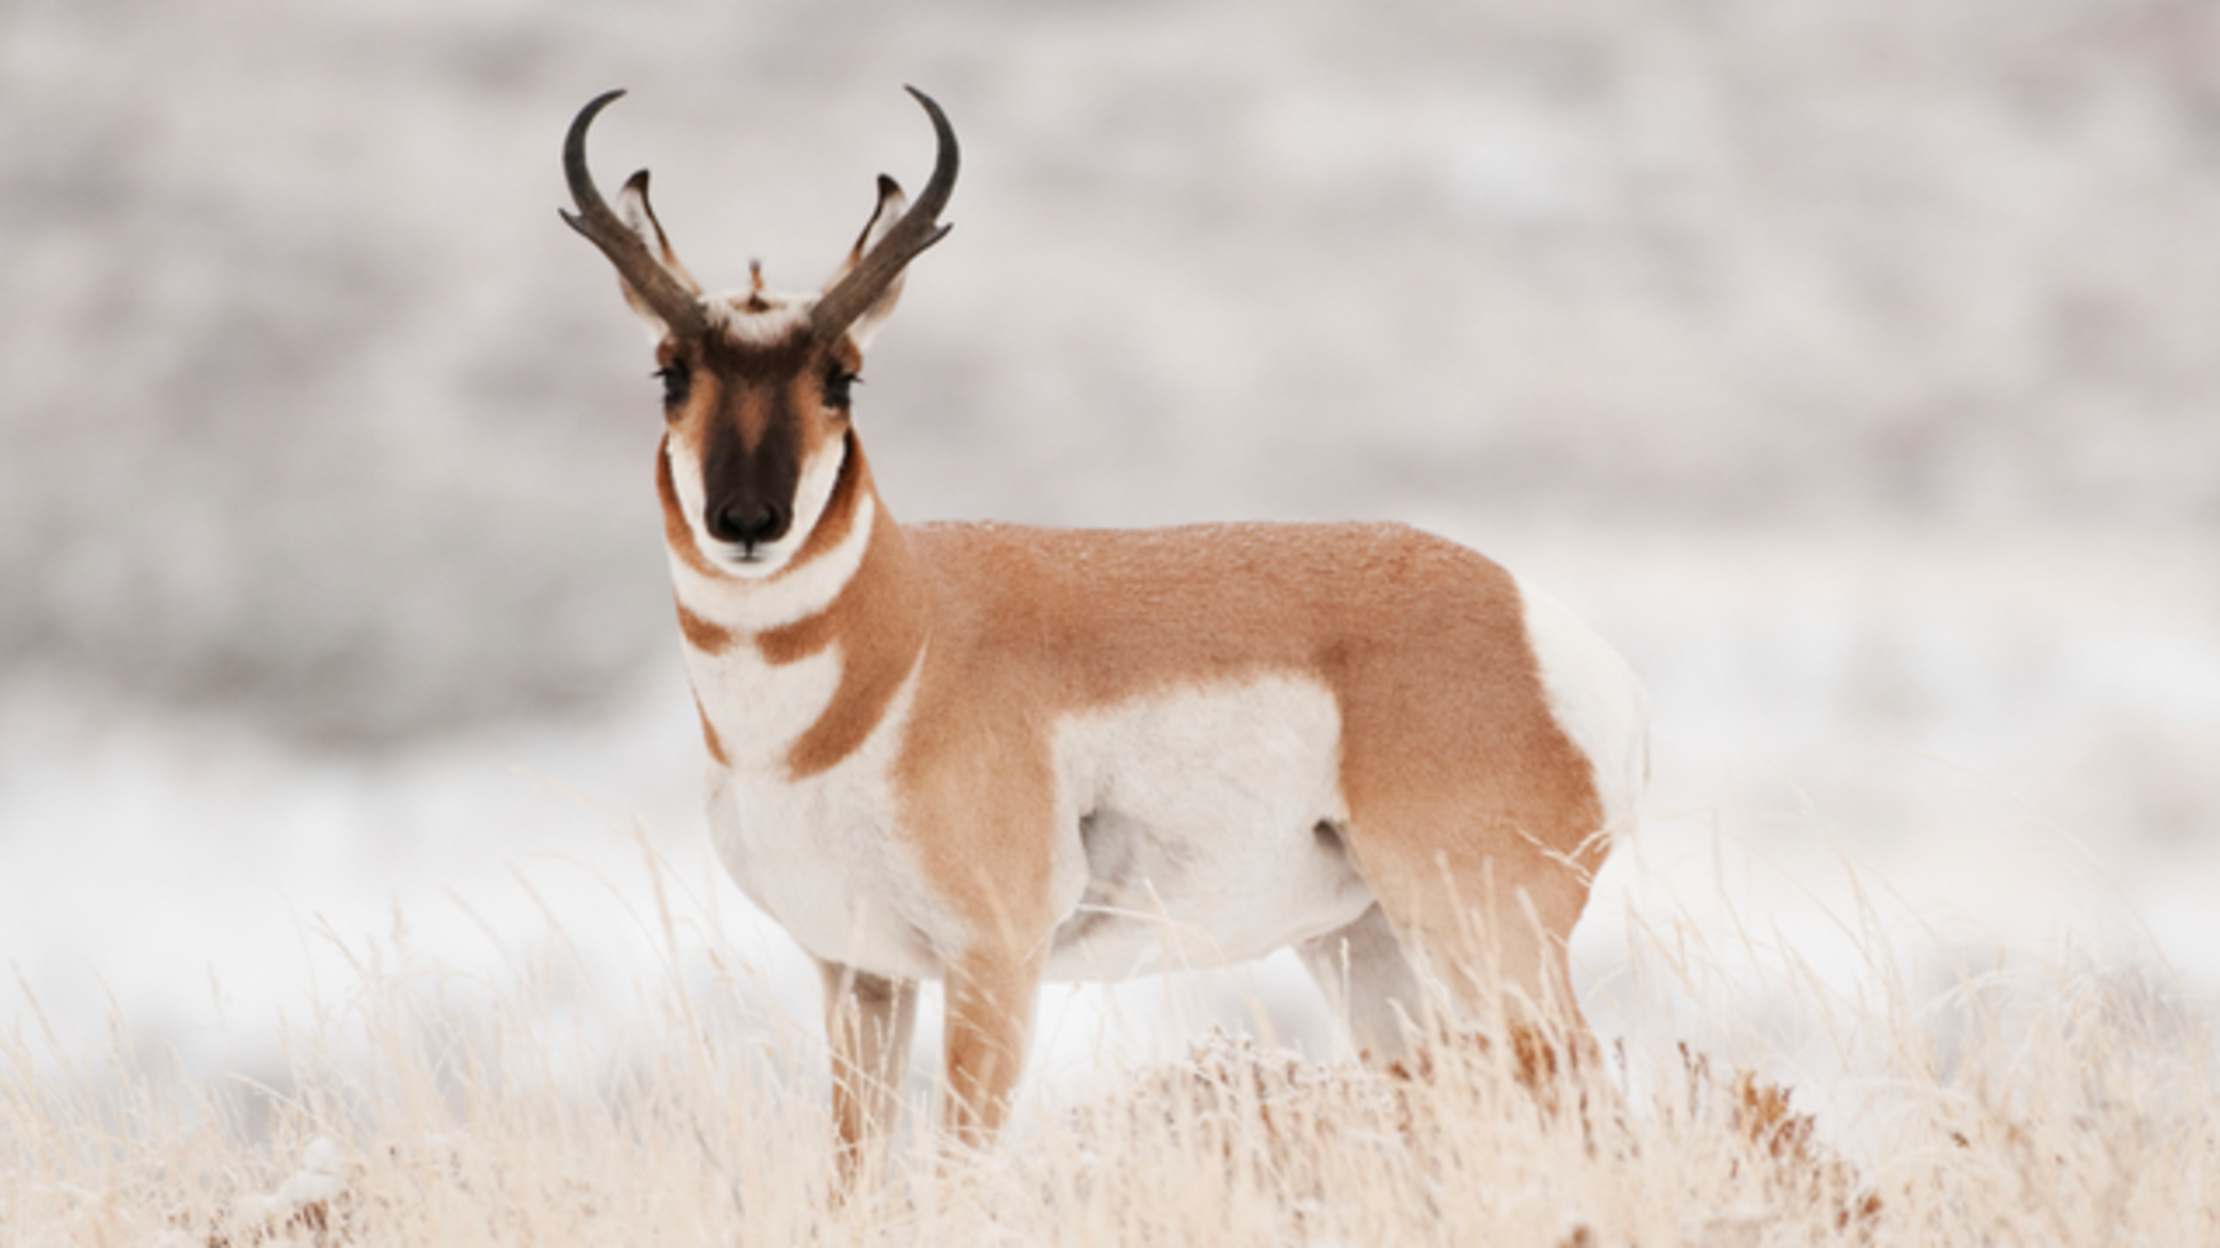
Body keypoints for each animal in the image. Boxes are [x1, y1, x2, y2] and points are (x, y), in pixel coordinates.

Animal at [560, 87, 1648, 1170]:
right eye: (670, 373)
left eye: (842, 377)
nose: (748, 521)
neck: (893, 653)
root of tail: (1539, 624)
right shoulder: (857, 972)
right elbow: (854, 1177)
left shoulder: (993, 965)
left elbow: (958, 1170)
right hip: (1365, 944)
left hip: (1487, 935)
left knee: (1588, 1099)